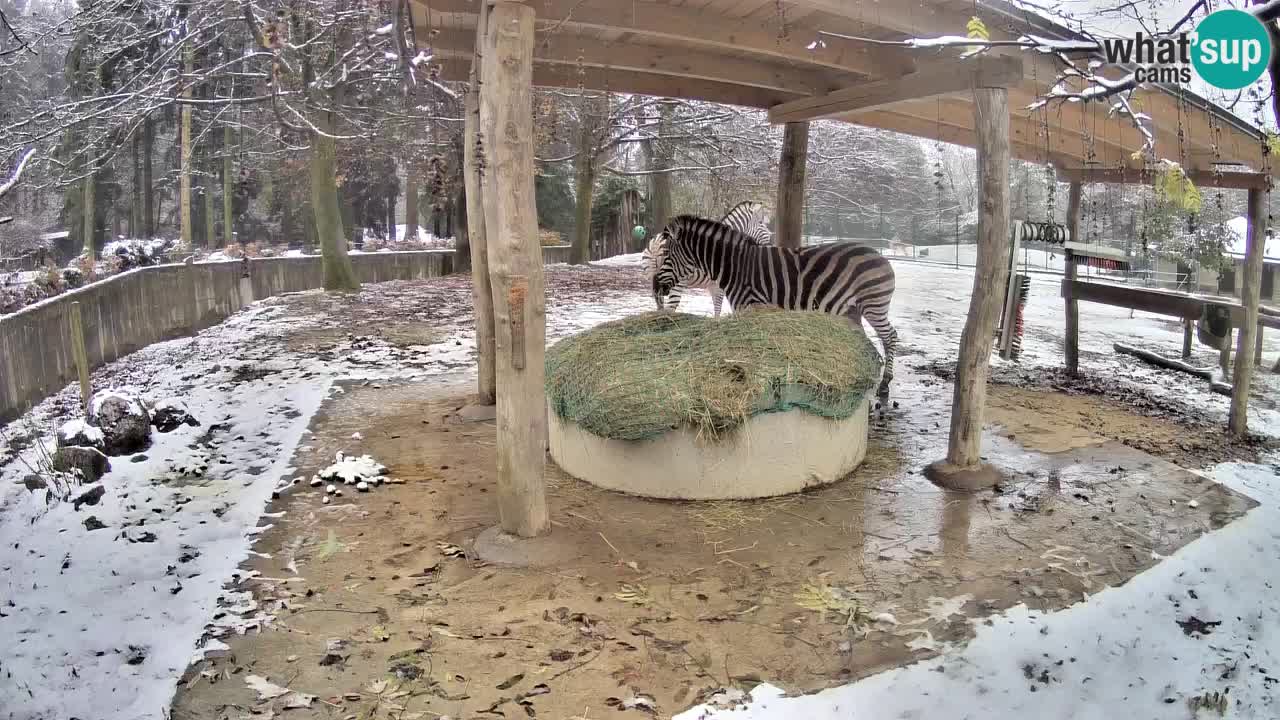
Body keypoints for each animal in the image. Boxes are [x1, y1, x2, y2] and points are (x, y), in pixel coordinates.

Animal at [640, 199, 768, 315]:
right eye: (762, 223)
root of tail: (656, 243)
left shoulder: (713, 286)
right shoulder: (720, 286)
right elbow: (720, 309)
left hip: (654, 279)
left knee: (660, 305)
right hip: (675, 282)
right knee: (670, 309)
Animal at [655, 212, 896, 397]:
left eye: (665, 255)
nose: (655, 286)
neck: (737, 268)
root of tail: (880, 255)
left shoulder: (752, 307)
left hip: (873, 305)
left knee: (890, 336)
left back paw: (885, 385)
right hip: (853, 309)